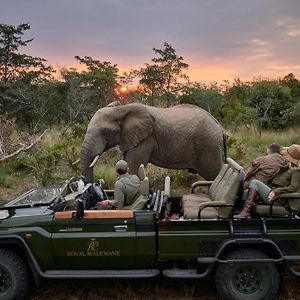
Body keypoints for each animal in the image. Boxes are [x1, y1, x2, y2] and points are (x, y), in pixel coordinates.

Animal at [81, 103, 226, 183]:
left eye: (105, 132)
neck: (120, 108)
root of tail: (220, 127)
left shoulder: (145, 139)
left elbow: (133, 168)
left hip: (209, 144)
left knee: (214, 175)